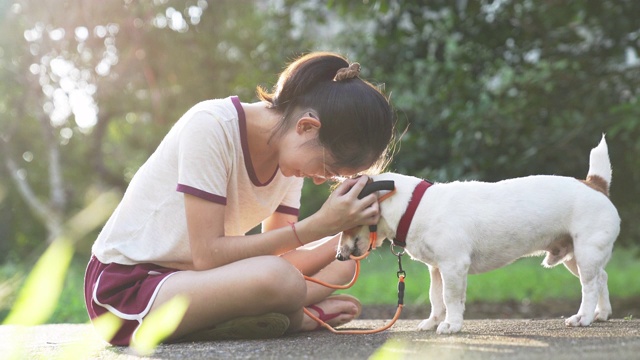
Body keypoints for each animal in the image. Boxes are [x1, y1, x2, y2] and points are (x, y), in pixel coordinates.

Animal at [338, 136, 616, 334]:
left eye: (349, 218)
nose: (339, 256)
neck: (413, 207)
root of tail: (594, 184)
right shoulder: (437, 269)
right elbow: (436, 298)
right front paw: (433, 322)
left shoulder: (453, 266)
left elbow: (450, 298)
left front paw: (451, 325)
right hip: (575, 257)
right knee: (601, 277)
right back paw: (601, 314)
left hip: (585, 253)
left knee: (589, 286)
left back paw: (584, 317)